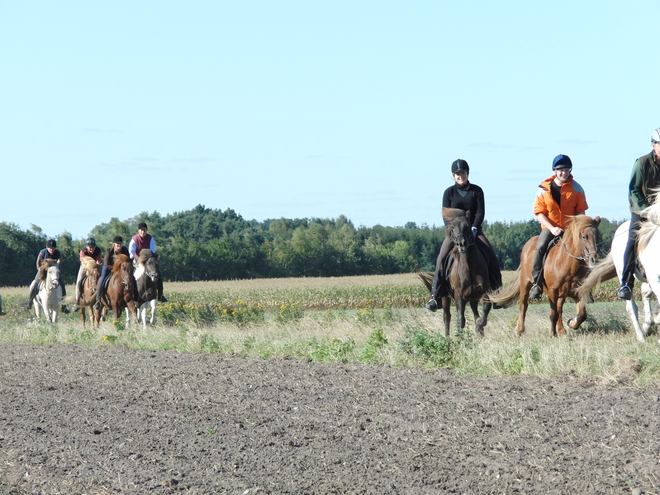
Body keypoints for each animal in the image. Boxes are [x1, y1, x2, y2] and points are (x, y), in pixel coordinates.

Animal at [420, 207, 492, 340]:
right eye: (452, 227)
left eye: (468, 225)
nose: (461, 243)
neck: (468, 266)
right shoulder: (459, 295)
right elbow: (460, 319)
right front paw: (460, 338)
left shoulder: (484, 290)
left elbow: (485, 308)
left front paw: (479, 325)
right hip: (445, 296)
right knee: (447, 316)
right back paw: (447, 338)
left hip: (473, 297)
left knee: (475, 311)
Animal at [576, 200, 660, 342]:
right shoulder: (655, 279)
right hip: (623, 273)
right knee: (631, 306)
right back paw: (641, 336)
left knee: (644, 292)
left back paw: (647, 325)